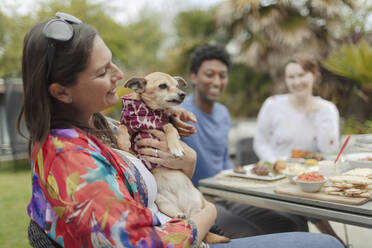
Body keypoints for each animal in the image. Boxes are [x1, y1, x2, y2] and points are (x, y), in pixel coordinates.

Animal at [117, 71, 231, 244]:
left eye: (177, 86)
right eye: (163, 86)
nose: (182, 94)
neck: (148, 114)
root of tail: (184, 207)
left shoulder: (168, 125)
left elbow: (170, 128)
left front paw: (176, 148)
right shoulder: (134, 137)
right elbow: (122, 126)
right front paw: (122, 141)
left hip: (197, 205)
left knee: (199, 228)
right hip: (164, 203)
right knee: (182, 217)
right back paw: (179, 215)